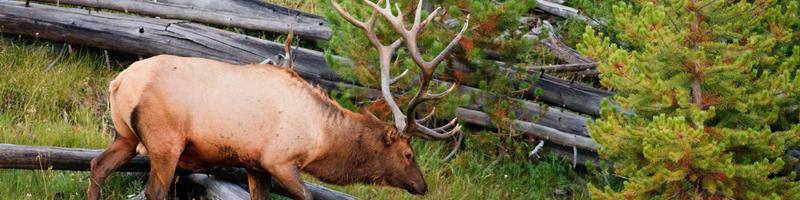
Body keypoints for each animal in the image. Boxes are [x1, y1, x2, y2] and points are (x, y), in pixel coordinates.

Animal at [87, 0, 468, 198]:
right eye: (408, 154)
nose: (422, 185)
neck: (321, 138)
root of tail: (119, 82)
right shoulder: (279, 160)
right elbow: (307, 196)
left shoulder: (255, 164)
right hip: (165, 141)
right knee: (155, 191)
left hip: (125, 134)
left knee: (98, 166)